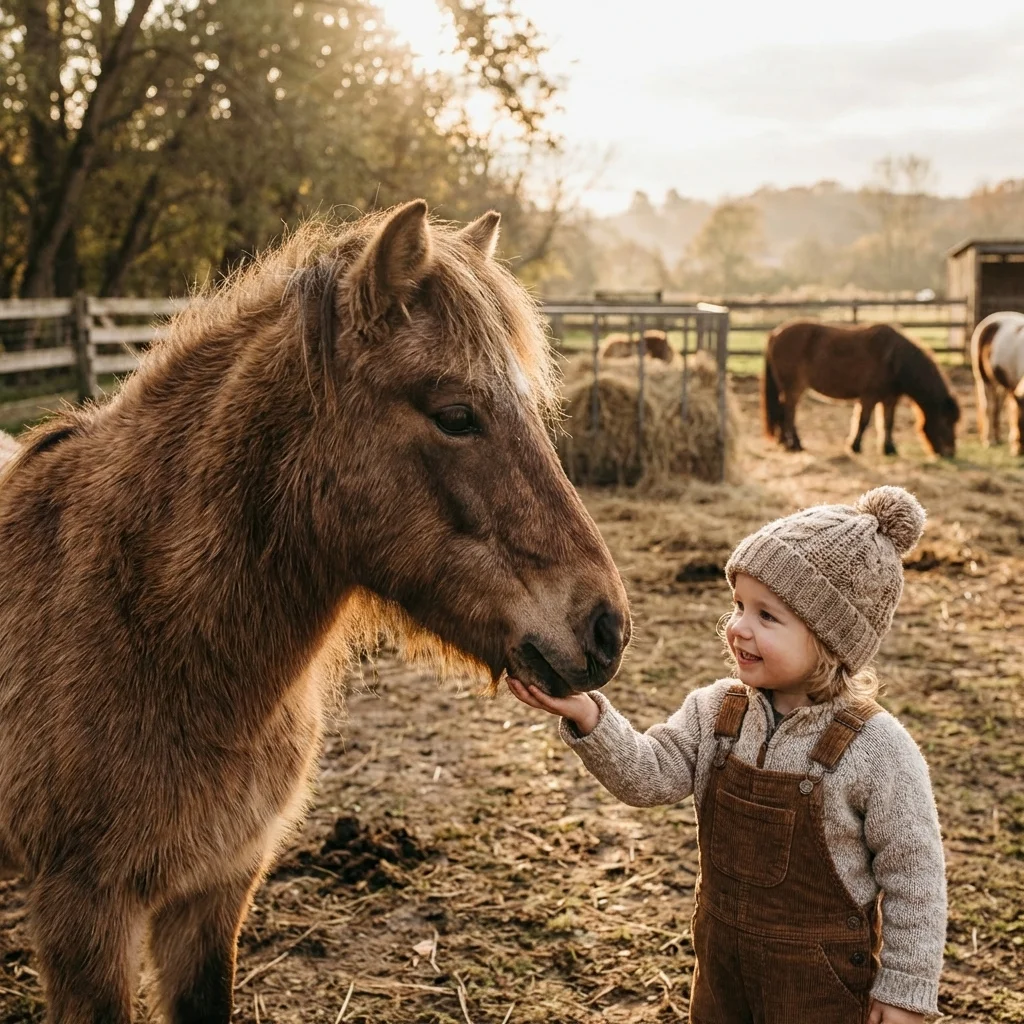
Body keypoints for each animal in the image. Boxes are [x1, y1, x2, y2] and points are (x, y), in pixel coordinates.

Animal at [762, 320, 960, 458]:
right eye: (946, 422)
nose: (949, 453)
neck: (894, 359)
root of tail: (775, 334)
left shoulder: (889, 398)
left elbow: (888, 423)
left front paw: (889, 449)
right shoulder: (869, 396)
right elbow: (863, 421)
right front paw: (854, 446)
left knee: (782, 413)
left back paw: (785, 442)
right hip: (793, 388)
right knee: (788, 413)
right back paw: (795, 444)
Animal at [970, 311, 1024, 456]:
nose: (1019, 451)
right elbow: (1013, 411)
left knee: (997, 408)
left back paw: (997, 438)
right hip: (983, 379)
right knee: (988, 407)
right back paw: (989, 441)